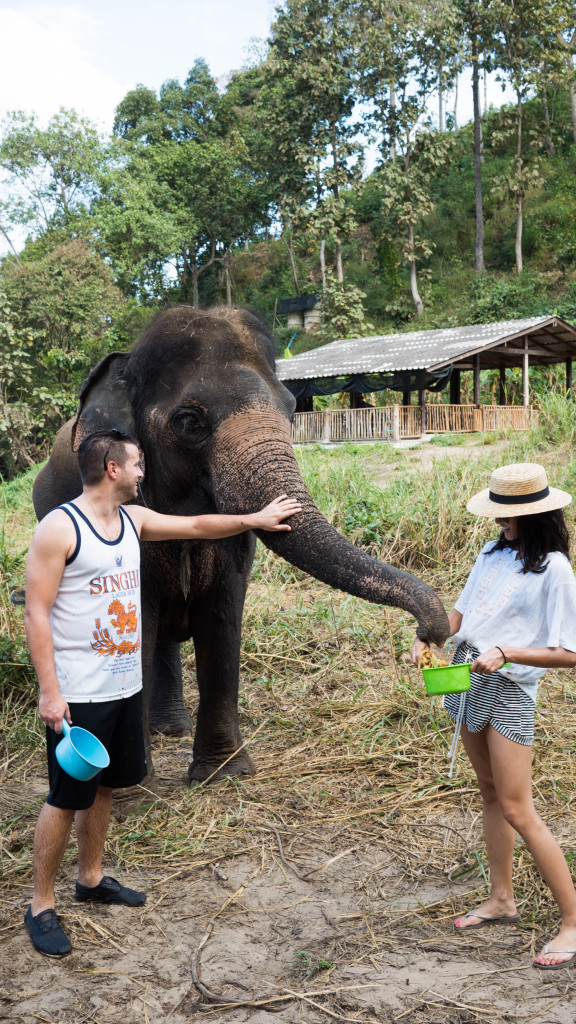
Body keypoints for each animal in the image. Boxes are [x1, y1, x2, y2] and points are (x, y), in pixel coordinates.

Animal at [33, 307, 448, 778]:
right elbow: (140, 623)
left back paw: (171, 730)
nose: (429, 636)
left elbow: (224, 616)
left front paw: (225, 774)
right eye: (190, 422)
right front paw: (139, 785)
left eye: (292, 411)